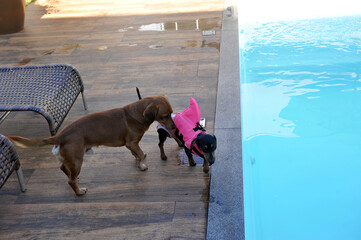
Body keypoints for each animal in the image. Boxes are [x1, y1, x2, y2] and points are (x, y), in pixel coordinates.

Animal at [8, 95, 174, 195]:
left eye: (171, 113)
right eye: (165, 116)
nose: (173, 127)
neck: (136, 114)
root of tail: (60, 135)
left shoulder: (132, 145)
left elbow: (137, 154)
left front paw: (139, 163)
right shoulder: (132, 143)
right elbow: (139, 154)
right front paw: (142, 165)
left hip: (72, 160)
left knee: (64, 169)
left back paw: (76, 179)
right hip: (77, 160)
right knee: (70, 180)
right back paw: (79, 191)